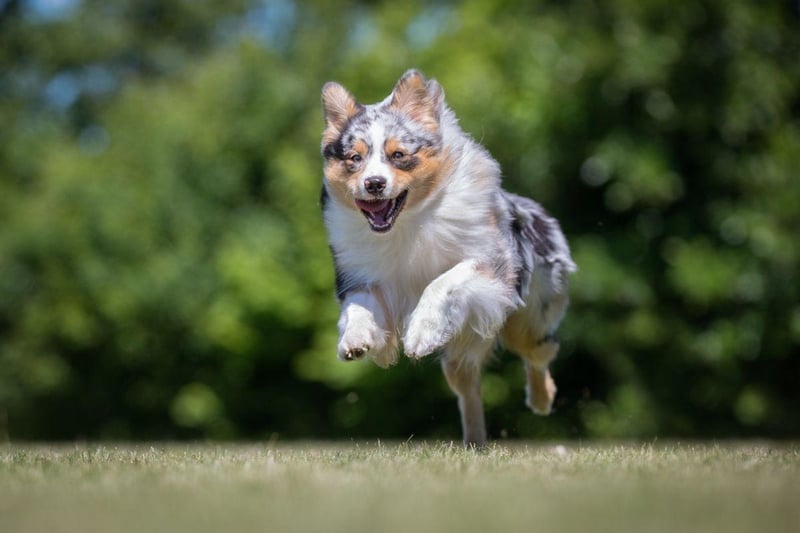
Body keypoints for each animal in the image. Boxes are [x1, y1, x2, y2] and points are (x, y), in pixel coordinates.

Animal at [316, 69, 572, 444]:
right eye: (354, 159)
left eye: (398, 155)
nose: (374, 183)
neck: (407, 223)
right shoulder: (361, 276)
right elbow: (359, 307)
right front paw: (357, 339)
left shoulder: (491, 262)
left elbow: (443, 282)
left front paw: (421, 334)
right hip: (463, 353)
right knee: (469, 388)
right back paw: (474, 441)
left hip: (528, 320)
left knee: (539, 353)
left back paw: (541, 399)